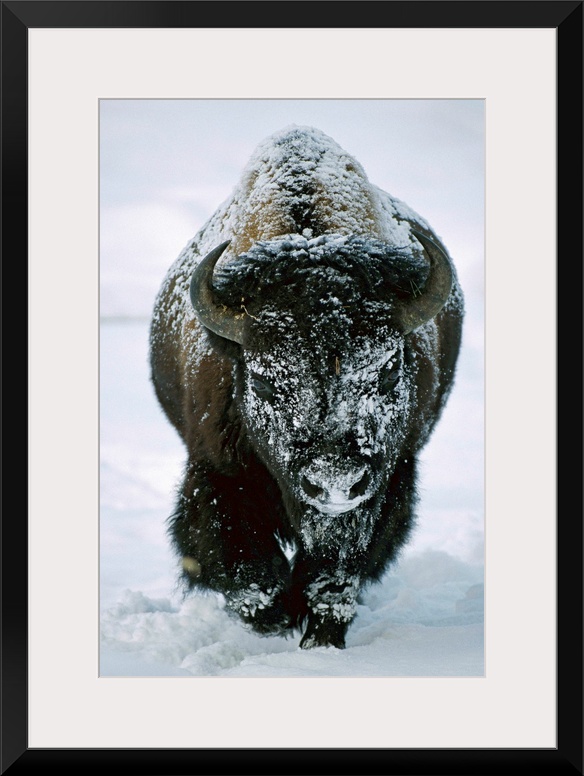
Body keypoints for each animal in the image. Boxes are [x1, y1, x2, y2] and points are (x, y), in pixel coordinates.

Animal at [151, 127, 466, 648]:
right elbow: (244, 569)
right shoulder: (216, 473)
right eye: (262, 380)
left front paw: (319, 636)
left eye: (387, 369)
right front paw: (277, 620)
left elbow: (335, 573)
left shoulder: (388, 482)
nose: (335, 482)